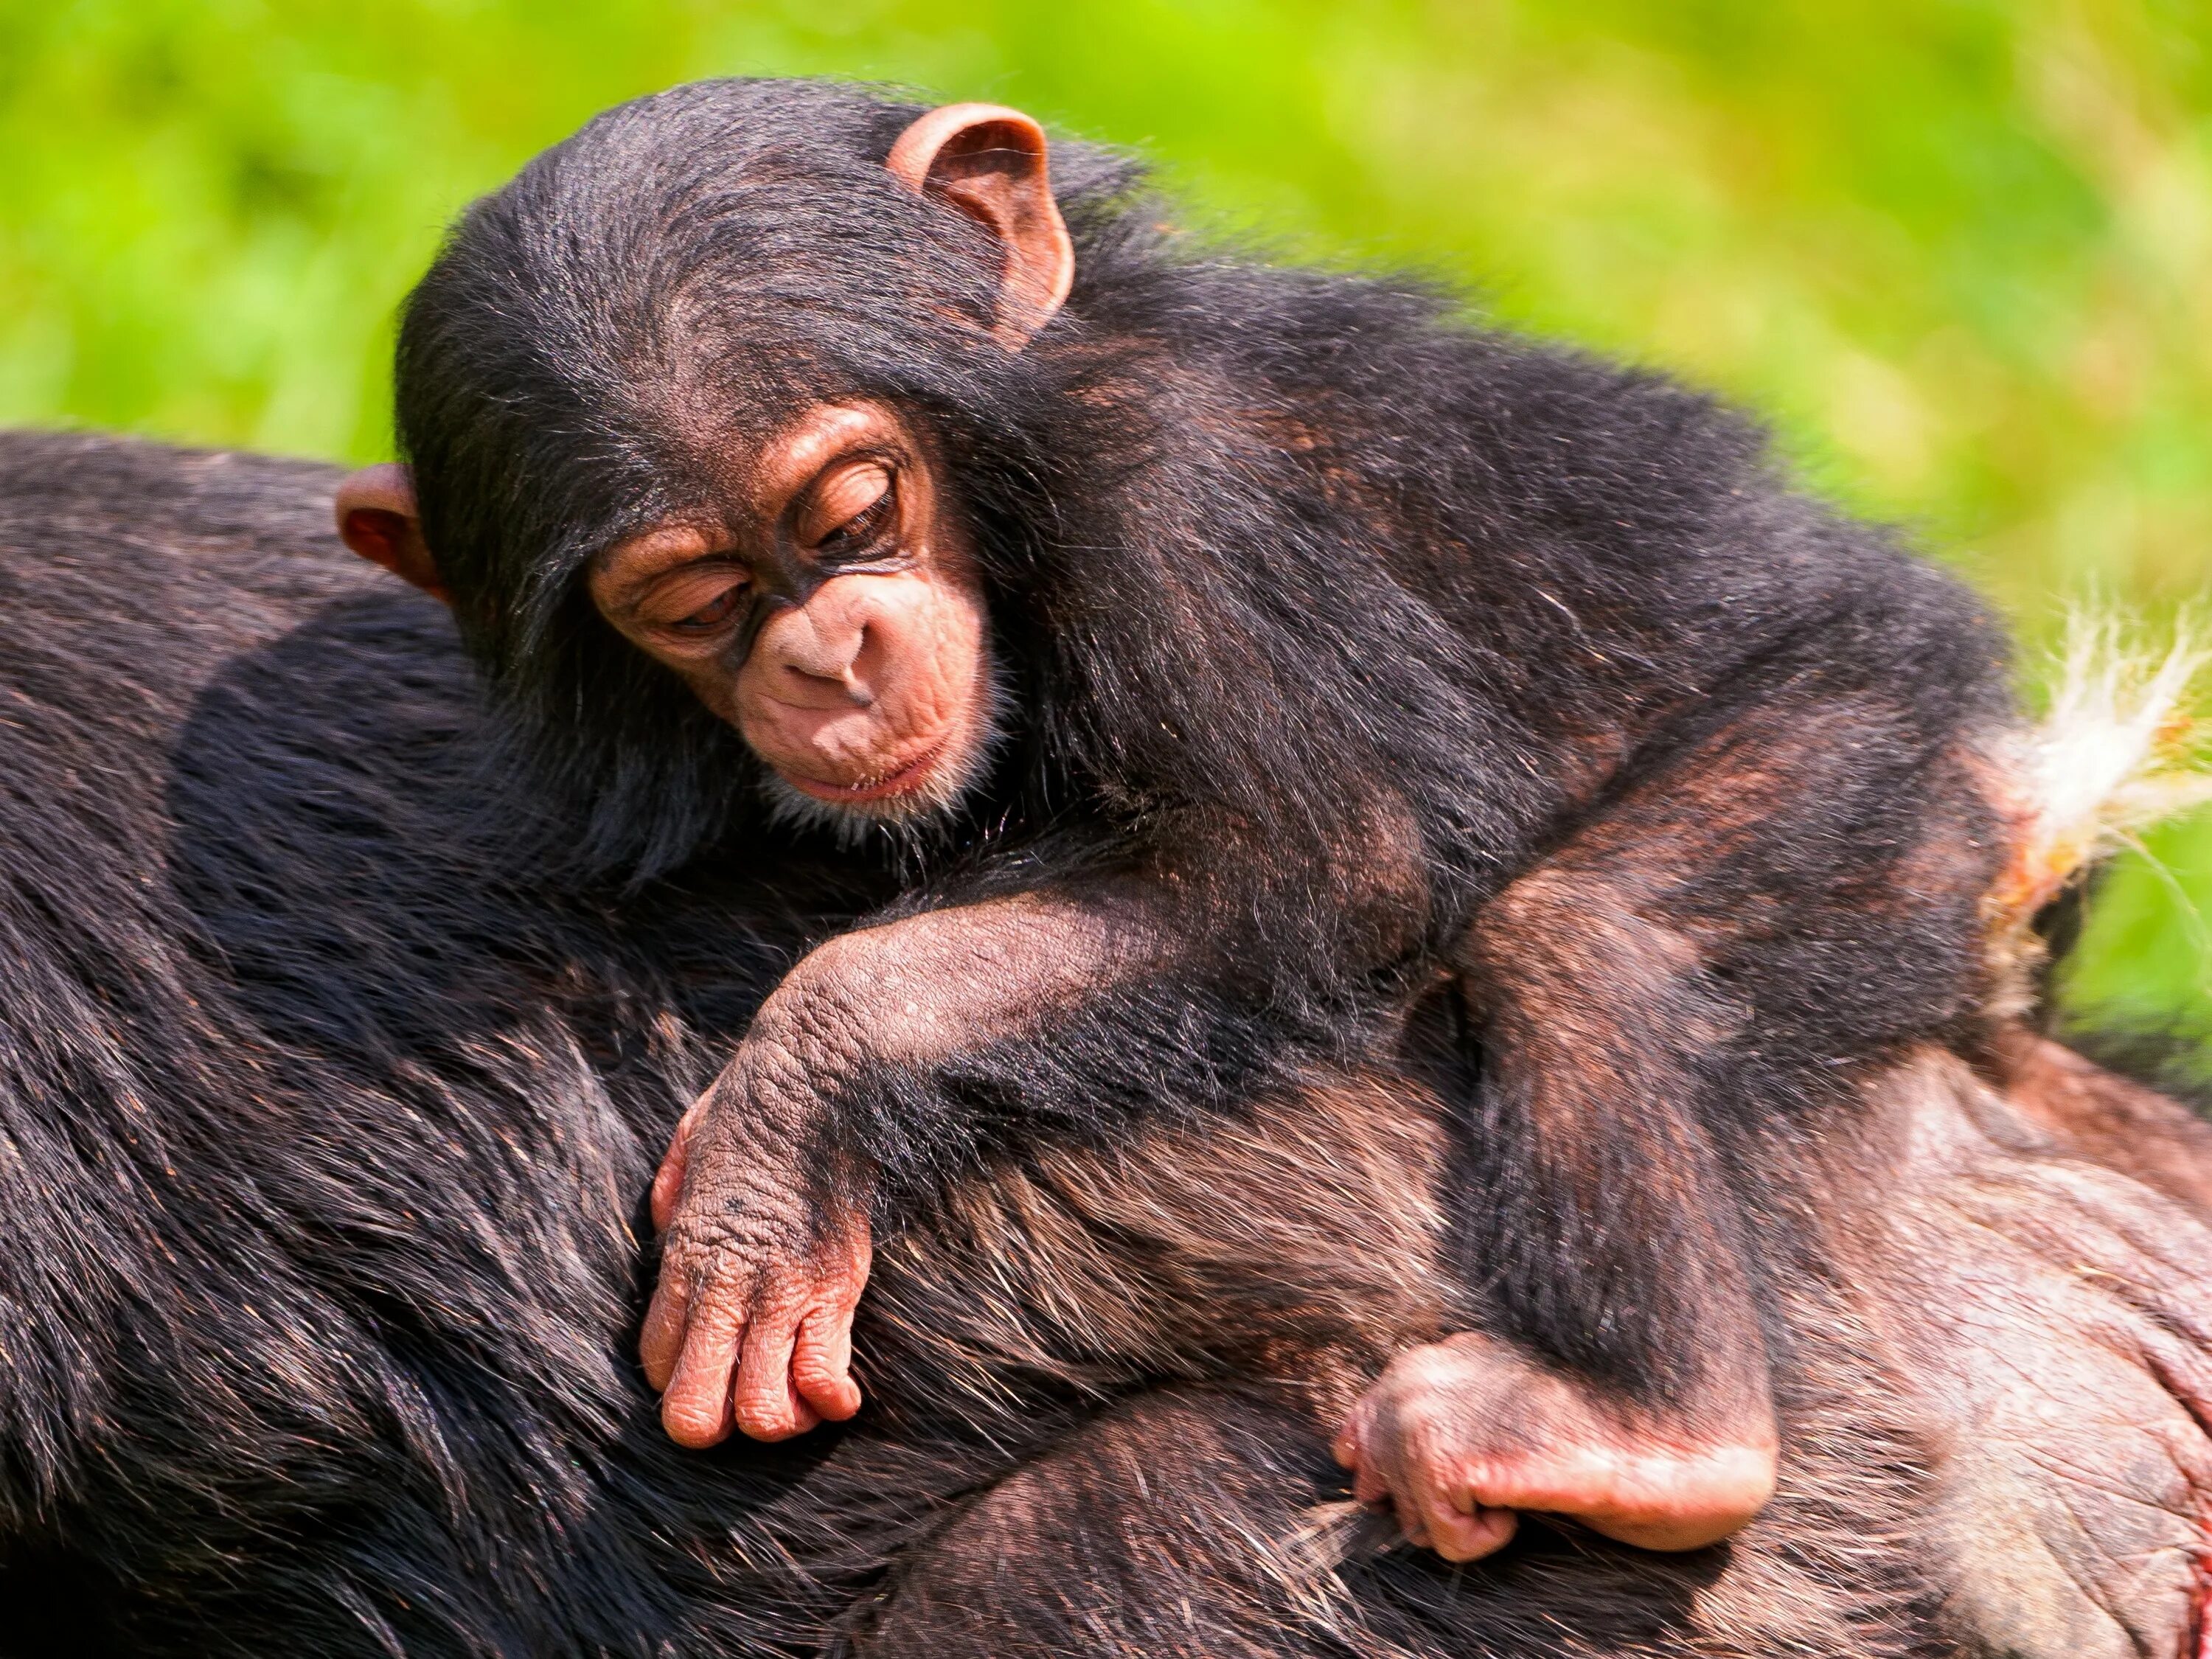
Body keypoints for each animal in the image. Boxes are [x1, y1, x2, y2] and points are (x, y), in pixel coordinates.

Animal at [336, 77, 2017, 1557]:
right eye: (695, 605)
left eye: (855, 513)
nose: (831, 652)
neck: (1015, 477)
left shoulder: (1176, 499)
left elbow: (1322, 864)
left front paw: (785, 1120)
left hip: (1869, 744)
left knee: (1588, 938)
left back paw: (1651, 1433)